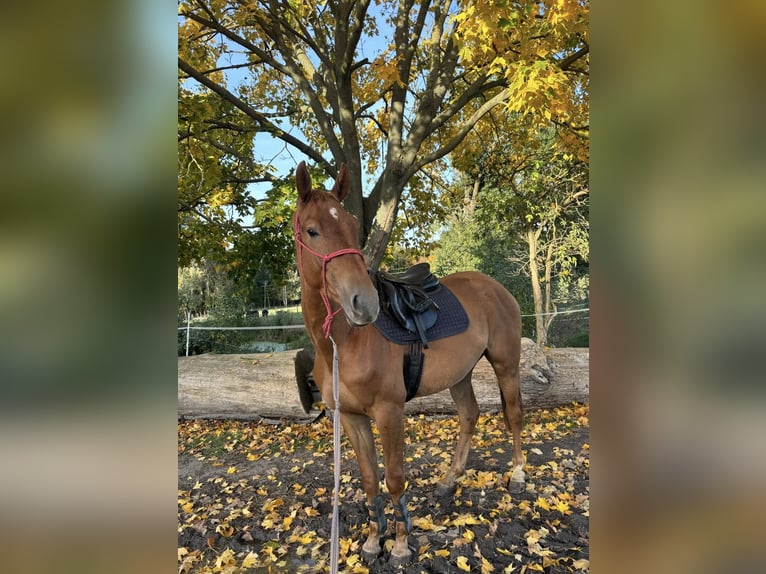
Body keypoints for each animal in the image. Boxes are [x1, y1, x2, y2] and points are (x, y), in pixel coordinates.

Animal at [293, 162, 525, 564]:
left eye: (353, 227)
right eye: (312, 230)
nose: (364, 303)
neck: (344, 342)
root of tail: (494, 286)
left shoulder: (390, 412)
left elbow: (395, 477)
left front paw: (400, 544)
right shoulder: (350, 417)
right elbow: (370, 479)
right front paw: (373, 541)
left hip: (506, 366)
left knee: (513, 415)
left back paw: (520, 476)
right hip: (460, 375)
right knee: (469, 415)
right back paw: (448, 481)